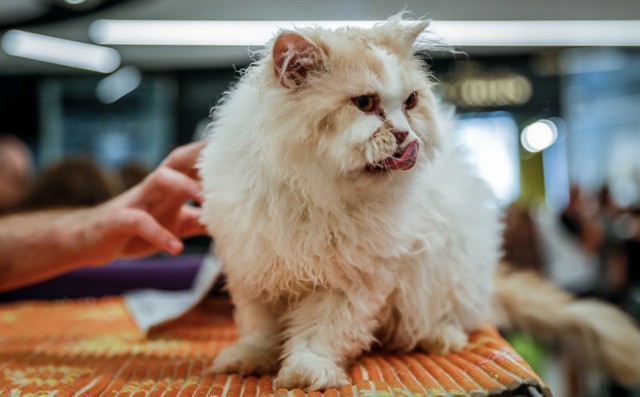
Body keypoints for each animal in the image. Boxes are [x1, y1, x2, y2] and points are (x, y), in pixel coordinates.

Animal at [200, 14, 640, 390]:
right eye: (364, 103)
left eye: (410, 102)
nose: (402, 133)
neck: (315, 193)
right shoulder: (256, 270)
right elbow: (260, 327)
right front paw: (250, 360)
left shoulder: (350, 281)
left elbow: (319, 332)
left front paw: (307, 371)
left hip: (446, 272)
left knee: (453, 316)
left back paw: (441, 336)